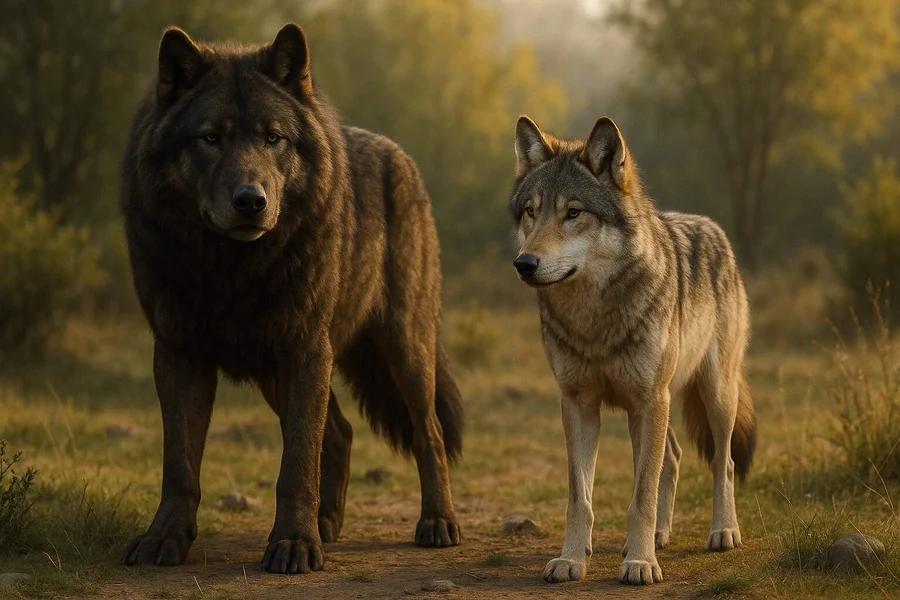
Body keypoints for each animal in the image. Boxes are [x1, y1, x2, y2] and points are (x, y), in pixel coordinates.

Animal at [119, 24, 463, 574]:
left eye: (272, 138)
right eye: (210, 137)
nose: (250, 201)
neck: (231, 270)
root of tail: (400, 155)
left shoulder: (304, 350)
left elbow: (296, 461)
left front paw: (294, 545)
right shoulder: (178, 353)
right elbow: (179, 464)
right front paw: (164, 538)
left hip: (403, 349)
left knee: (427, 432)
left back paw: (437, 523)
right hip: (275, 377)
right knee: (340, 433)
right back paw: (327, 525)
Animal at [508, 115, 756, 585]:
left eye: (573, 213)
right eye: (531, 211)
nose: (524, 264)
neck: (594, 319)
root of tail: (714, 229)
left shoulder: (648, 400)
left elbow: (641, 494)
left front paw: (640, 564)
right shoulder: (578, 403)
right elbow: (580, 497)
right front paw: (572, 559)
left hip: (712, 395)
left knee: (725, 463)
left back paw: (723, 531)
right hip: (651, 407)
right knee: (672, 458)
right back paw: (659, 536)